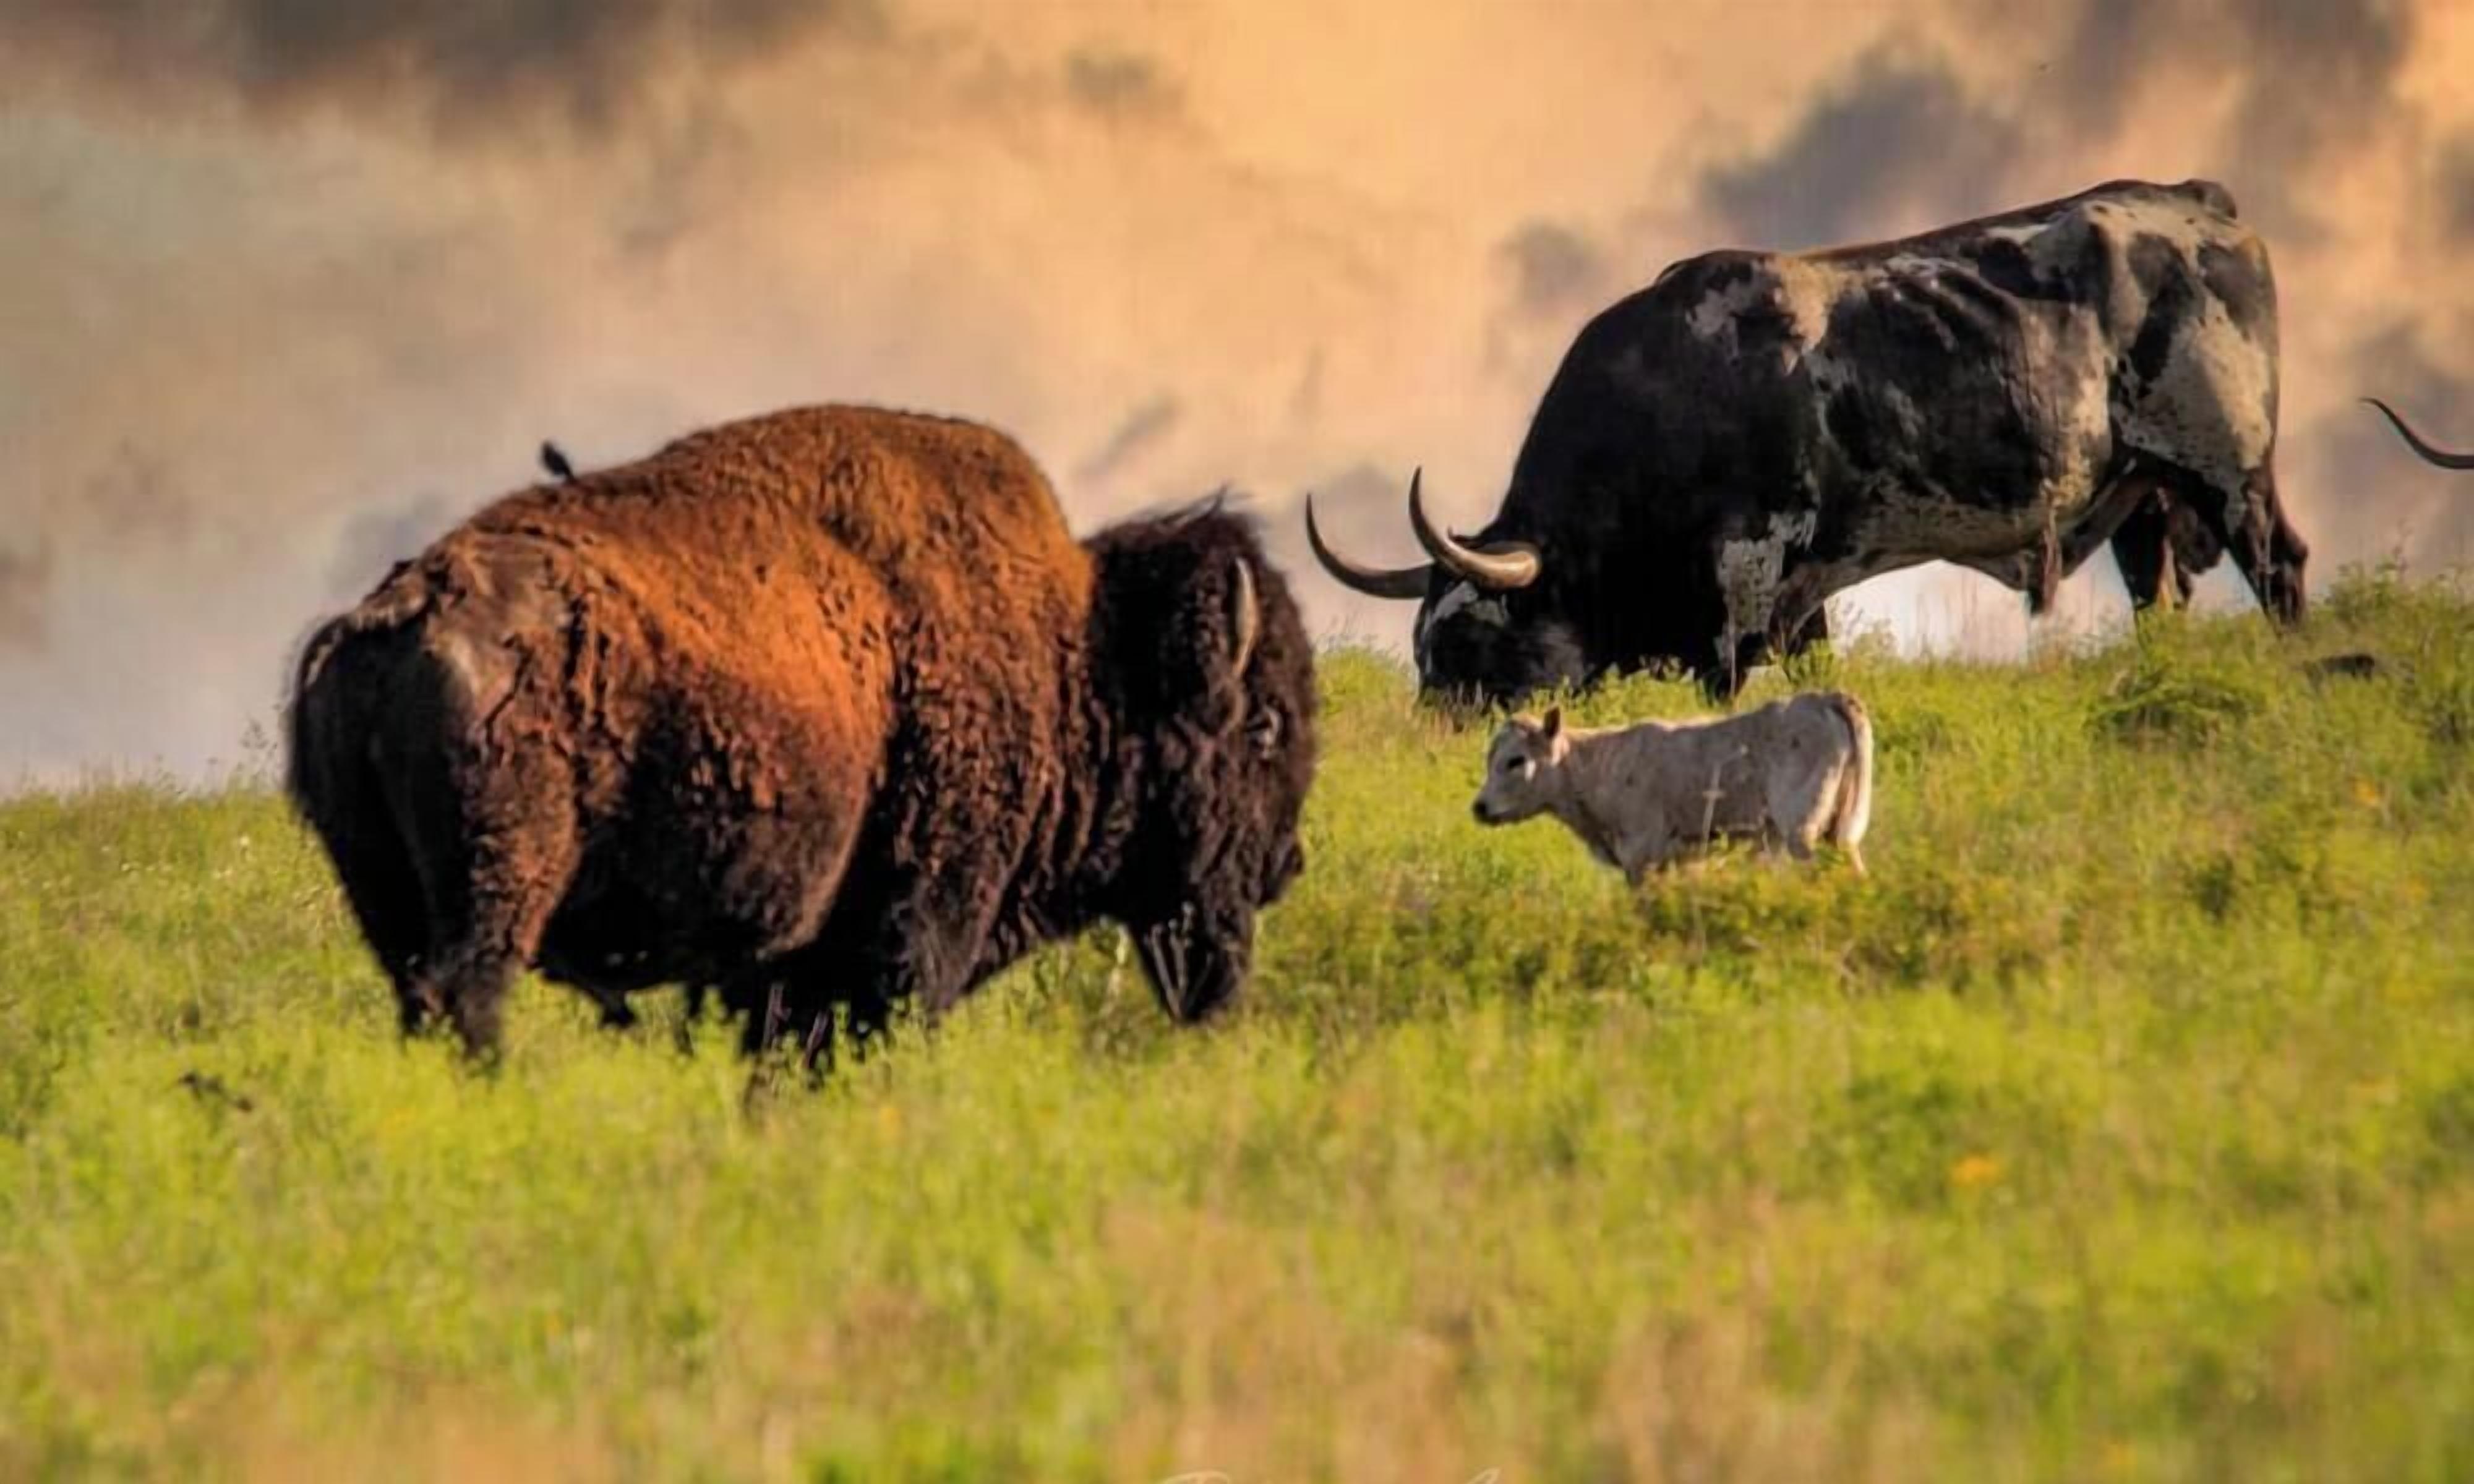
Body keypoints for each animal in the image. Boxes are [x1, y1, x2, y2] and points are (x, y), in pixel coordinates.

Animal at [288, 405, 1318, 1063]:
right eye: (1265, 725)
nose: (1285, 866)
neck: (1080, 652)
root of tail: (395, 616)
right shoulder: (916, 931)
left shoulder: (788, 973)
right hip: (500, 885)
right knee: (470, 997)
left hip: (386, 896)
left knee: (421, 998)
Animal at [1308, 179, 2307, 705]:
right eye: (1420, 650)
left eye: (1471, 643)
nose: (1439, 736)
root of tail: (2195, 203)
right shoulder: (1803, 593)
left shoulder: (1746, 582)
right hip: (2143, 492)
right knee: (2157, 594)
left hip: (2230, 471)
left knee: (2280, 567)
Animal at [1469, 694, 1873, 884]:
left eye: (1516, 760)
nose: (1480, 807)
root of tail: (1823, 697)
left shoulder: (1642, 858)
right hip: (1835, 830)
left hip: (1802, 829)